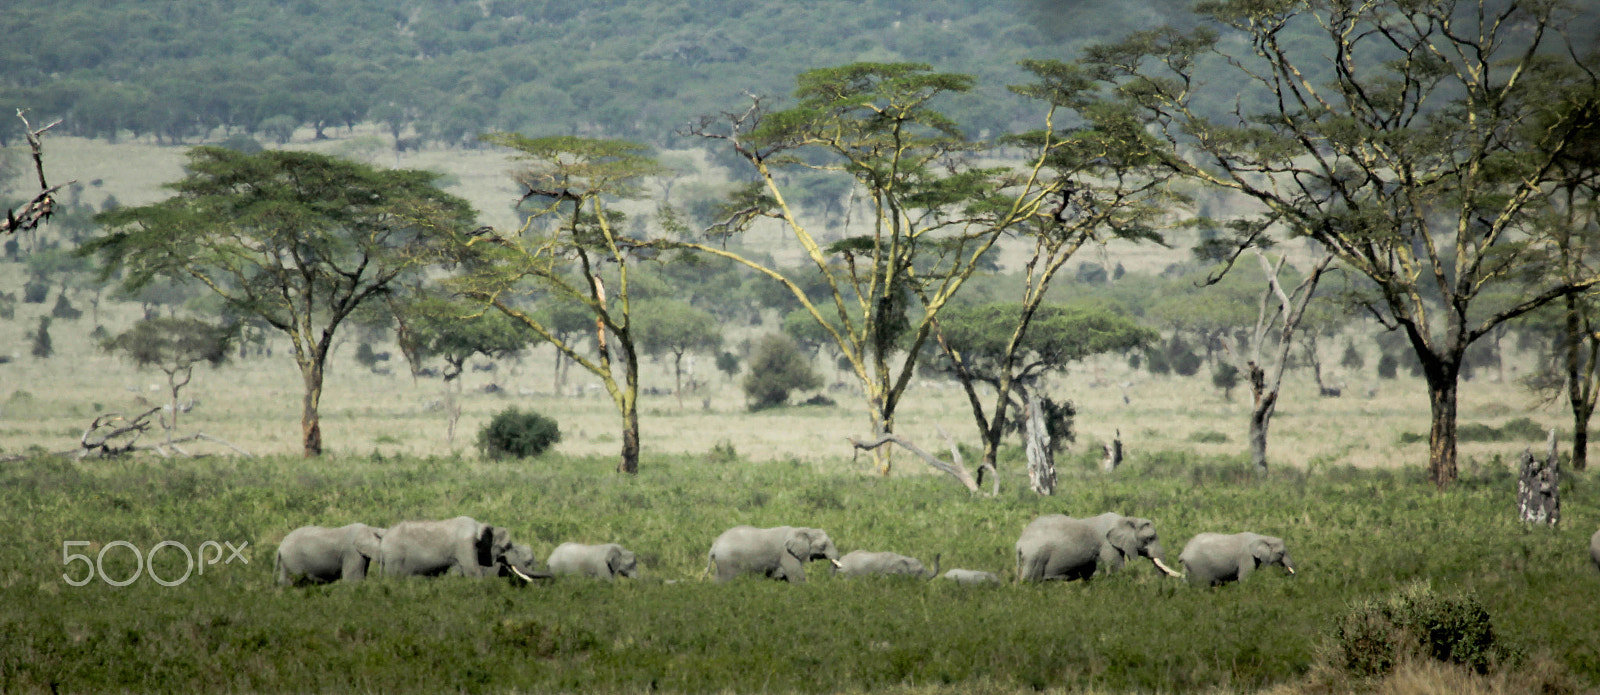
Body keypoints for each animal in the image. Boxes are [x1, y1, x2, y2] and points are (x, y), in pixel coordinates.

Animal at [377, 516, 539, 581]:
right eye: (507, 546)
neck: (479, 525)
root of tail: (384, 537)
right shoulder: (465, 544)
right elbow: (473, 572)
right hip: (394, 557)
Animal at [707, 525, 841, 583]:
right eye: (822, 546)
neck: (802, 529)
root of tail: (714, 545)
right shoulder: (787, 554)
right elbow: (797, 577)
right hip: (728, 561)